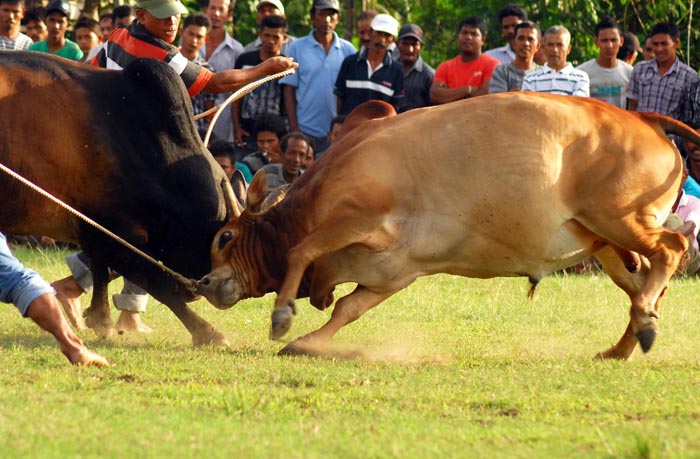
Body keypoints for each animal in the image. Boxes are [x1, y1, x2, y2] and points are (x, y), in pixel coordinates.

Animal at [196, 93, 700, 360]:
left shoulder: (355, 215)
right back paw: (624, 345)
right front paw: (309, 343)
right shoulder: (394, 273)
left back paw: (644, 324)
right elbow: (347, 309)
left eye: (225, 237)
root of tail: (643, 118)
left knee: (672, 248)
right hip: (604, 241)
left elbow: (301, 252)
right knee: (644, 283)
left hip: (620, 220)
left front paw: (283, 317)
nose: (202, 282)